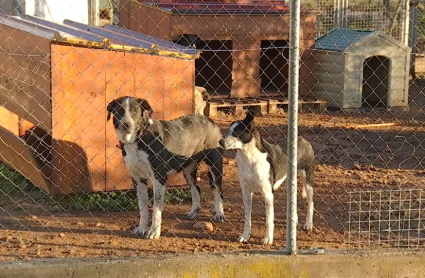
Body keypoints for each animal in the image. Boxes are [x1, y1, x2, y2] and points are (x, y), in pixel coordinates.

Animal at [107, 96, 225, 239]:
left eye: (134, 110)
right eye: (119, 111)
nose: (126, 124)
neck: (139, 138)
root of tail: (210, 120)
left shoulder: (159, 178)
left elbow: (156, 209)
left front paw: (154, 232)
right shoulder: (138, 179)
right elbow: (143, 208)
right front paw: (141, 228)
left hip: (215, 165)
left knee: (218, 189)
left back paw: (219, 213)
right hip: (188, 170)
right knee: (196, 188)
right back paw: (193, 212)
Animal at [219, 111, 314, 245]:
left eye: (237, 133)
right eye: (229, 130)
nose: (220, 142)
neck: (250, 158)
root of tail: (303, 140)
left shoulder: (268, 194)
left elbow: (269, 220)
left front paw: (268, 239)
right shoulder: (246, 192)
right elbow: (247, 218)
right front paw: (245, 236)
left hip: (308, 179)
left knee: (311, 203)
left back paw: (308, 224)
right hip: (289, 185)